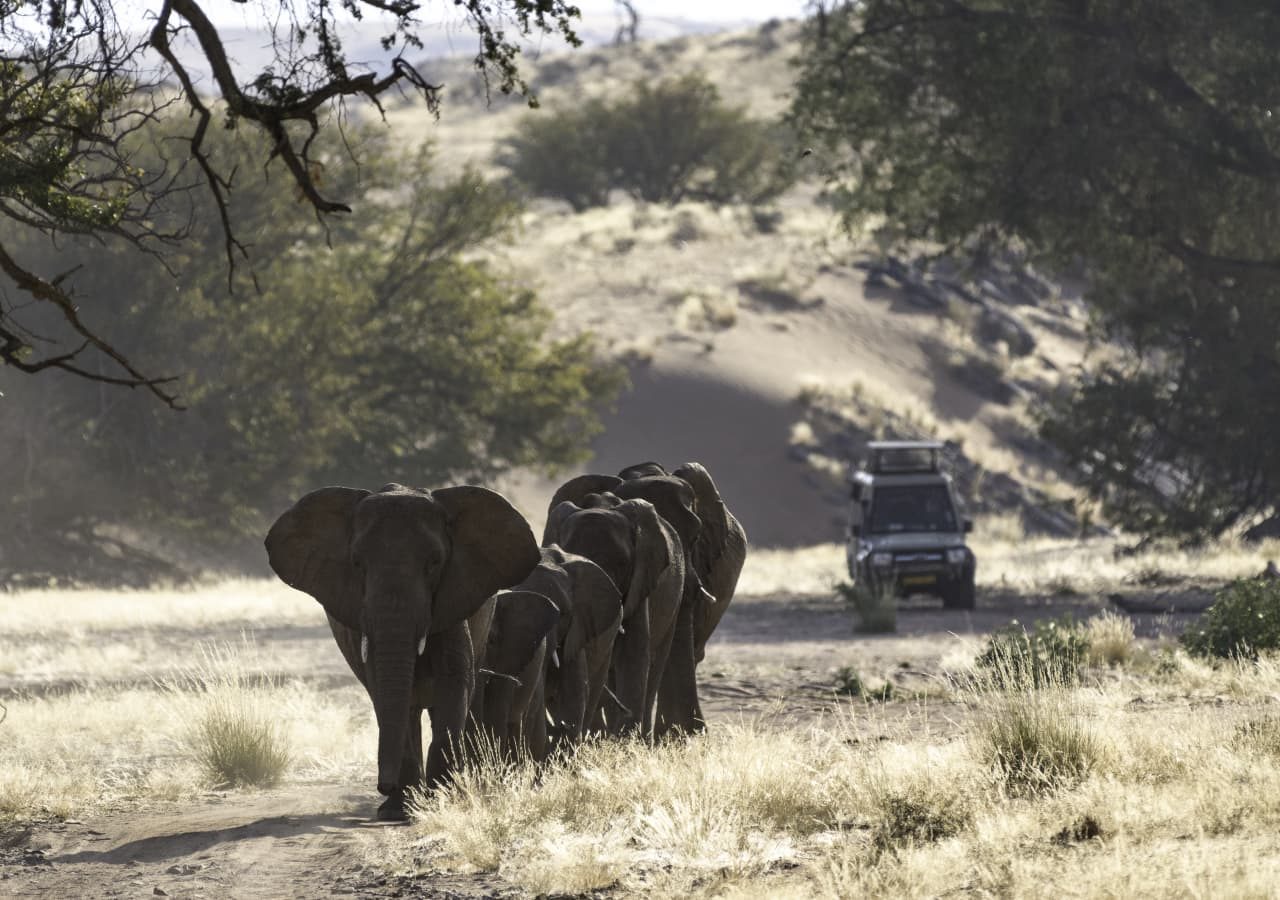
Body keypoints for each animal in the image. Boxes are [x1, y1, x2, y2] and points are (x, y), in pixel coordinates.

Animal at [263, 481, 535, 819]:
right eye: (357, 563)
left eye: (434, 563)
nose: (383, 786)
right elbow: (384, 690)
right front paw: (400, 810)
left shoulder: (452, 599)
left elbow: (454, 679)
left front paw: (441, 797)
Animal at [542, 491, 686, 737]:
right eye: (570, 556)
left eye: (622, 563)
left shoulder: (641, 579)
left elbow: (634, 652)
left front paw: (627, 741)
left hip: (674, 600)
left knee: (655, 664)